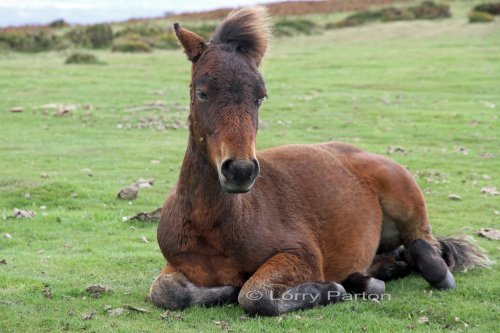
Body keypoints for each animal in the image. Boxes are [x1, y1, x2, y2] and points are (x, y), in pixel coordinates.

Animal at [149, 7, 488, 314]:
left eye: (260, 97)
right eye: (202, 93)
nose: (241, 171)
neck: (212, 225)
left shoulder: (301, 256)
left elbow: (255, 295)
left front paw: (330, 290)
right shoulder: (177, 264)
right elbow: (165, 292)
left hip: (403, 195)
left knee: (426, 247)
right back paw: (371, 277)